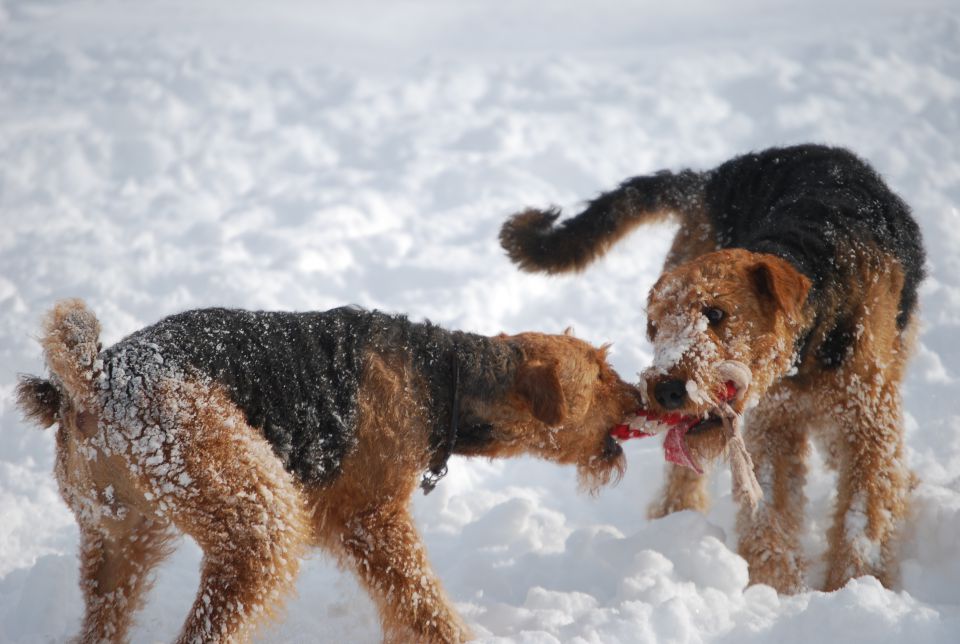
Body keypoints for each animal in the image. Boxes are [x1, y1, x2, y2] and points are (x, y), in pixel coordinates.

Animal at [15, 302, 640, 644]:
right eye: (602, 372)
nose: (643, 397)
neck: (445, 378)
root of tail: (92, 380)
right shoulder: (373, 518)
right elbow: (423, 602)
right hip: (258, 519)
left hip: (118, 536)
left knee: (104, 619)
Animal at [498, 142, 928, 592]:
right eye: (654, 327)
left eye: (716, 312)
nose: (665, 390)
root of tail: (713, 176)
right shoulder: (775, 420)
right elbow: (771, 509)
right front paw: (775, 586)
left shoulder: (867, 416)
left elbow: (864, 514)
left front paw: (854, 584)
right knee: (683, 476)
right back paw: (673, 520)